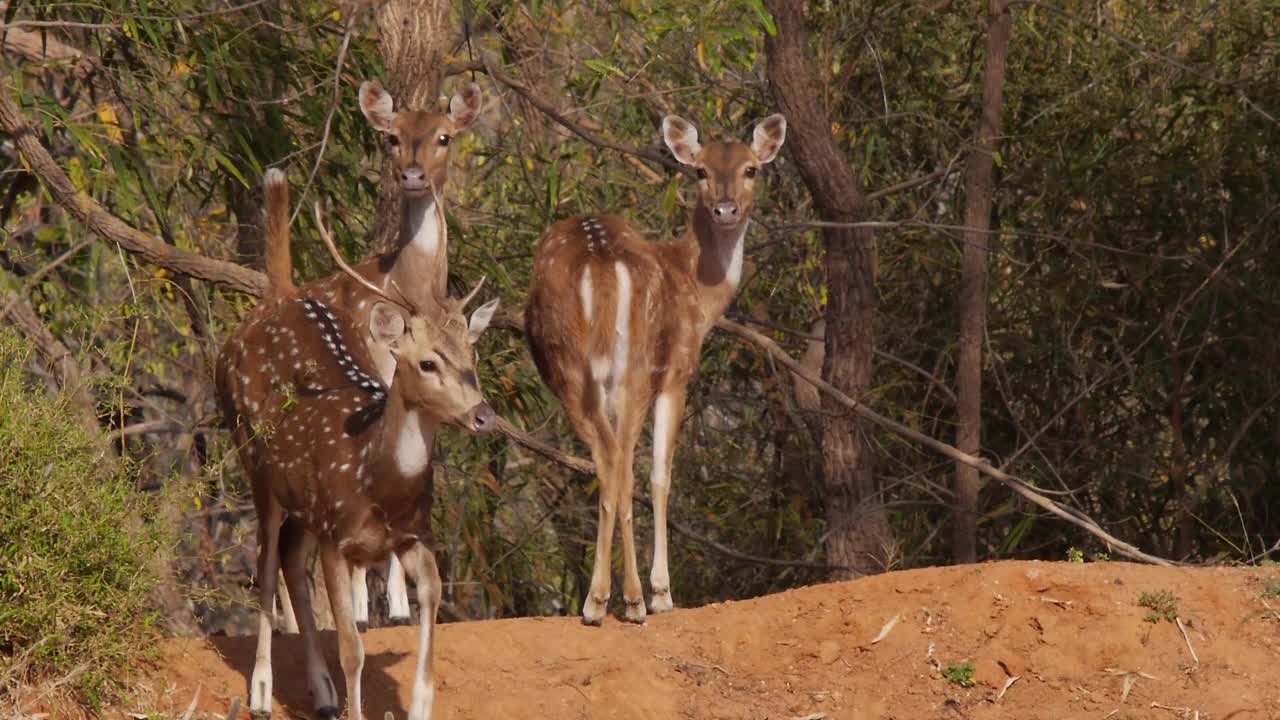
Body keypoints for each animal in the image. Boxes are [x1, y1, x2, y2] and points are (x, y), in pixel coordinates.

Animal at [217, 167, 496, 717]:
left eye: (471, 359)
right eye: (426, 362)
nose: (482, 415)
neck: (375, 480)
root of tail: (277, 294)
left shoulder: (413, 536)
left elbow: (431, 600)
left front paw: (418, 705)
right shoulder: (336, 535)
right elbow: (352, 647)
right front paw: (355, 706)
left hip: (303, 506)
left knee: (288, 560)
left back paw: (321, 694)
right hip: (254, 462)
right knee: (265, 564)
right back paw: (261, 690)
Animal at [524, 112, 783, 622]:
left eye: (751, 169)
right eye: (700, 170)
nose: (726, 210)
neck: (699, 292)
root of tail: (599, 262)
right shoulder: (677, 373)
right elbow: (661, 476)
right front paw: (663, 592)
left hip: (572, 370)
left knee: (607, 465)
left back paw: (602, 599)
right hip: (634, 370)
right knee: (622, 465)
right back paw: (626, 599)